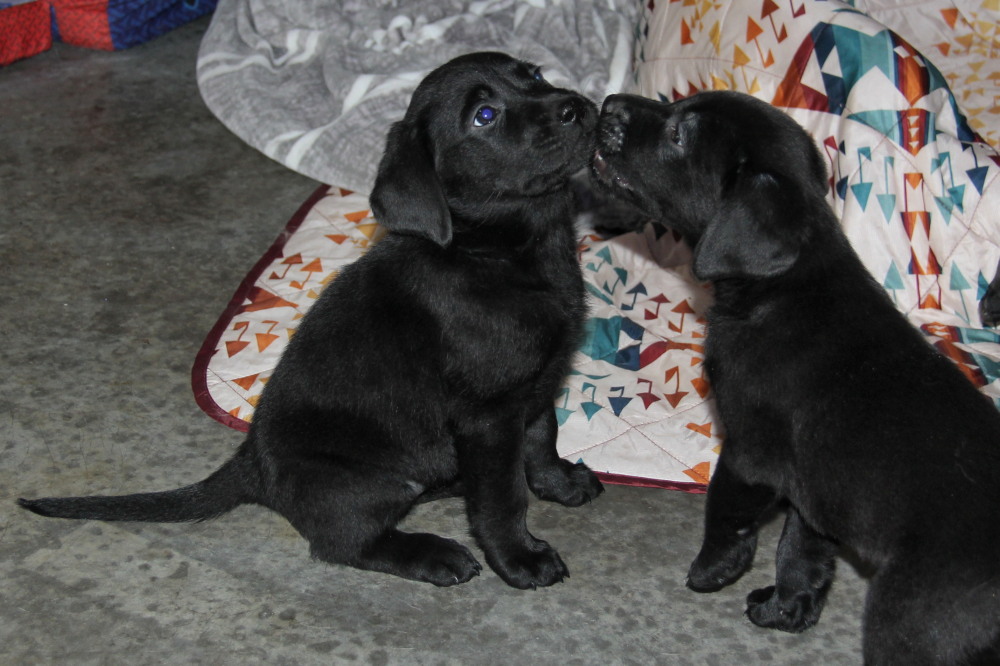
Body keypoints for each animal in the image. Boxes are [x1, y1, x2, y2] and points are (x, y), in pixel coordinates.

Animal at [19, 53, 604, 592]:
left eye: (534, 74)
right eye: (484, 115)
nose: (577, 106)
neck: (493, 253)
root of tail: (252, 463)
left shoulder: (536, 387)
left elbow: (542, 437)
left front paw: (558, 483)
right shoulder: (489, 414)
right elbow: (502, 498)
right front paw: (519, 558)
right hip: (370, 484)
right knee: (343, 542)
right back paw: (433, 554)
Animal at [588, 91, 1000, 660]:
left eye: (679, 135)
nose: (609, 103)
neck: (785, 284)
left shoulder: (749, 455)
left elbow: (726, 514)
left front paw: (712, 571)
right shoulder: (813, 490)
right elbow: (801, 551)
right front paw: (785, 609)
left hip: (910, 623)